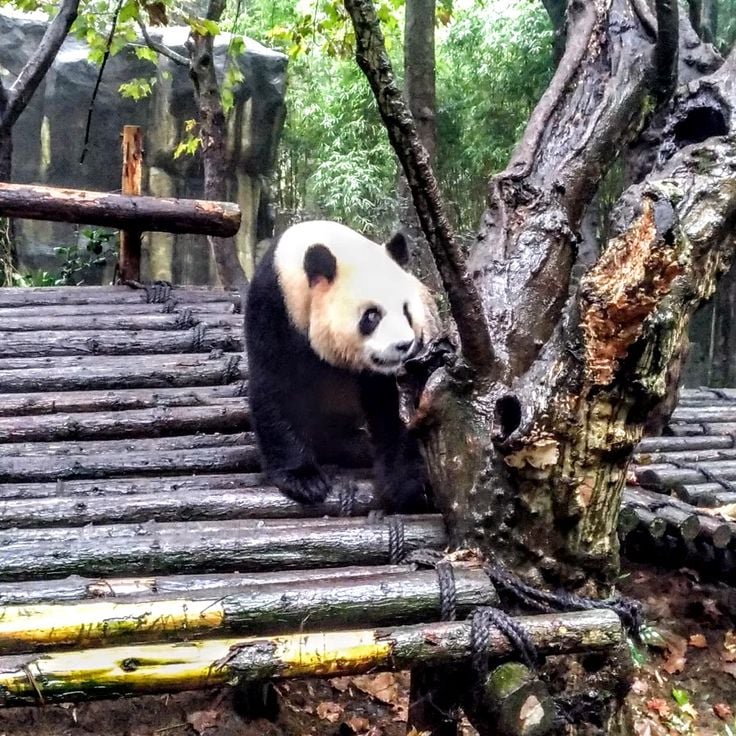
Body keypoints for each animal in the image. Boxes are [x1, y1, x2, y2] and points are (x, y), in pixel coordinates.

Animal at [245, 220, 438, 513]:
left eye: (407, 311)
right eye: (372, 315)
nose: (404, 345)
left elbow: (391, 405)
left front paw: (408, 486)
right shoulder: (275, 309)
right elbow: (275, 387)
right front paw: (304, 480)